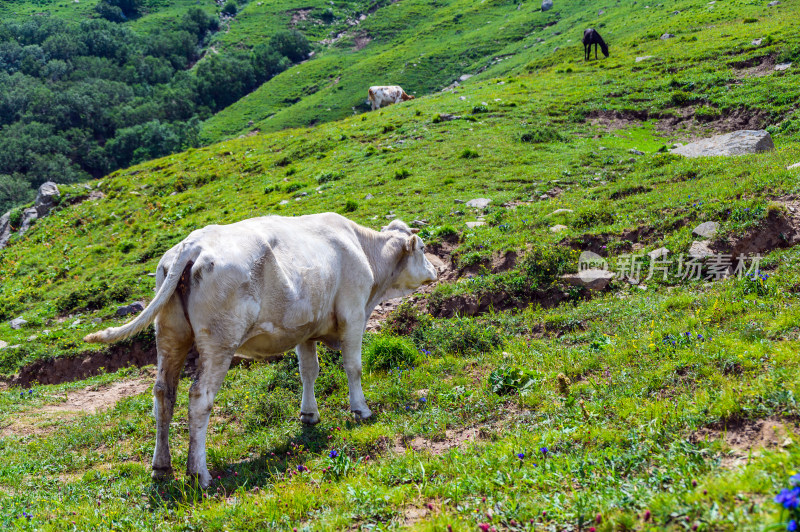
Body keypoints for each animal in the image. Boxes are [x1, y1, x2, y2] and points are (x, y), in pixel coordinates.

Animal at [83, 214, 434, 488]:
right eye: (423, 249)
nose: (434, 271)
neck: (364, 252)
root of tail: (193, 243)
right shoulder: (353, 314)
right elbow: (353, 366)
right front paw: (361, 410)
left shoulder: (305, 327)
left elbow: (309, 371)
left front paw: (309, 415)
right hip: (219, 342)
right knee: (199, 398)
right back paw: (199, 474)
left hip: (170, 335)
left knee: (163, 395)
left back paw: (161, 467)